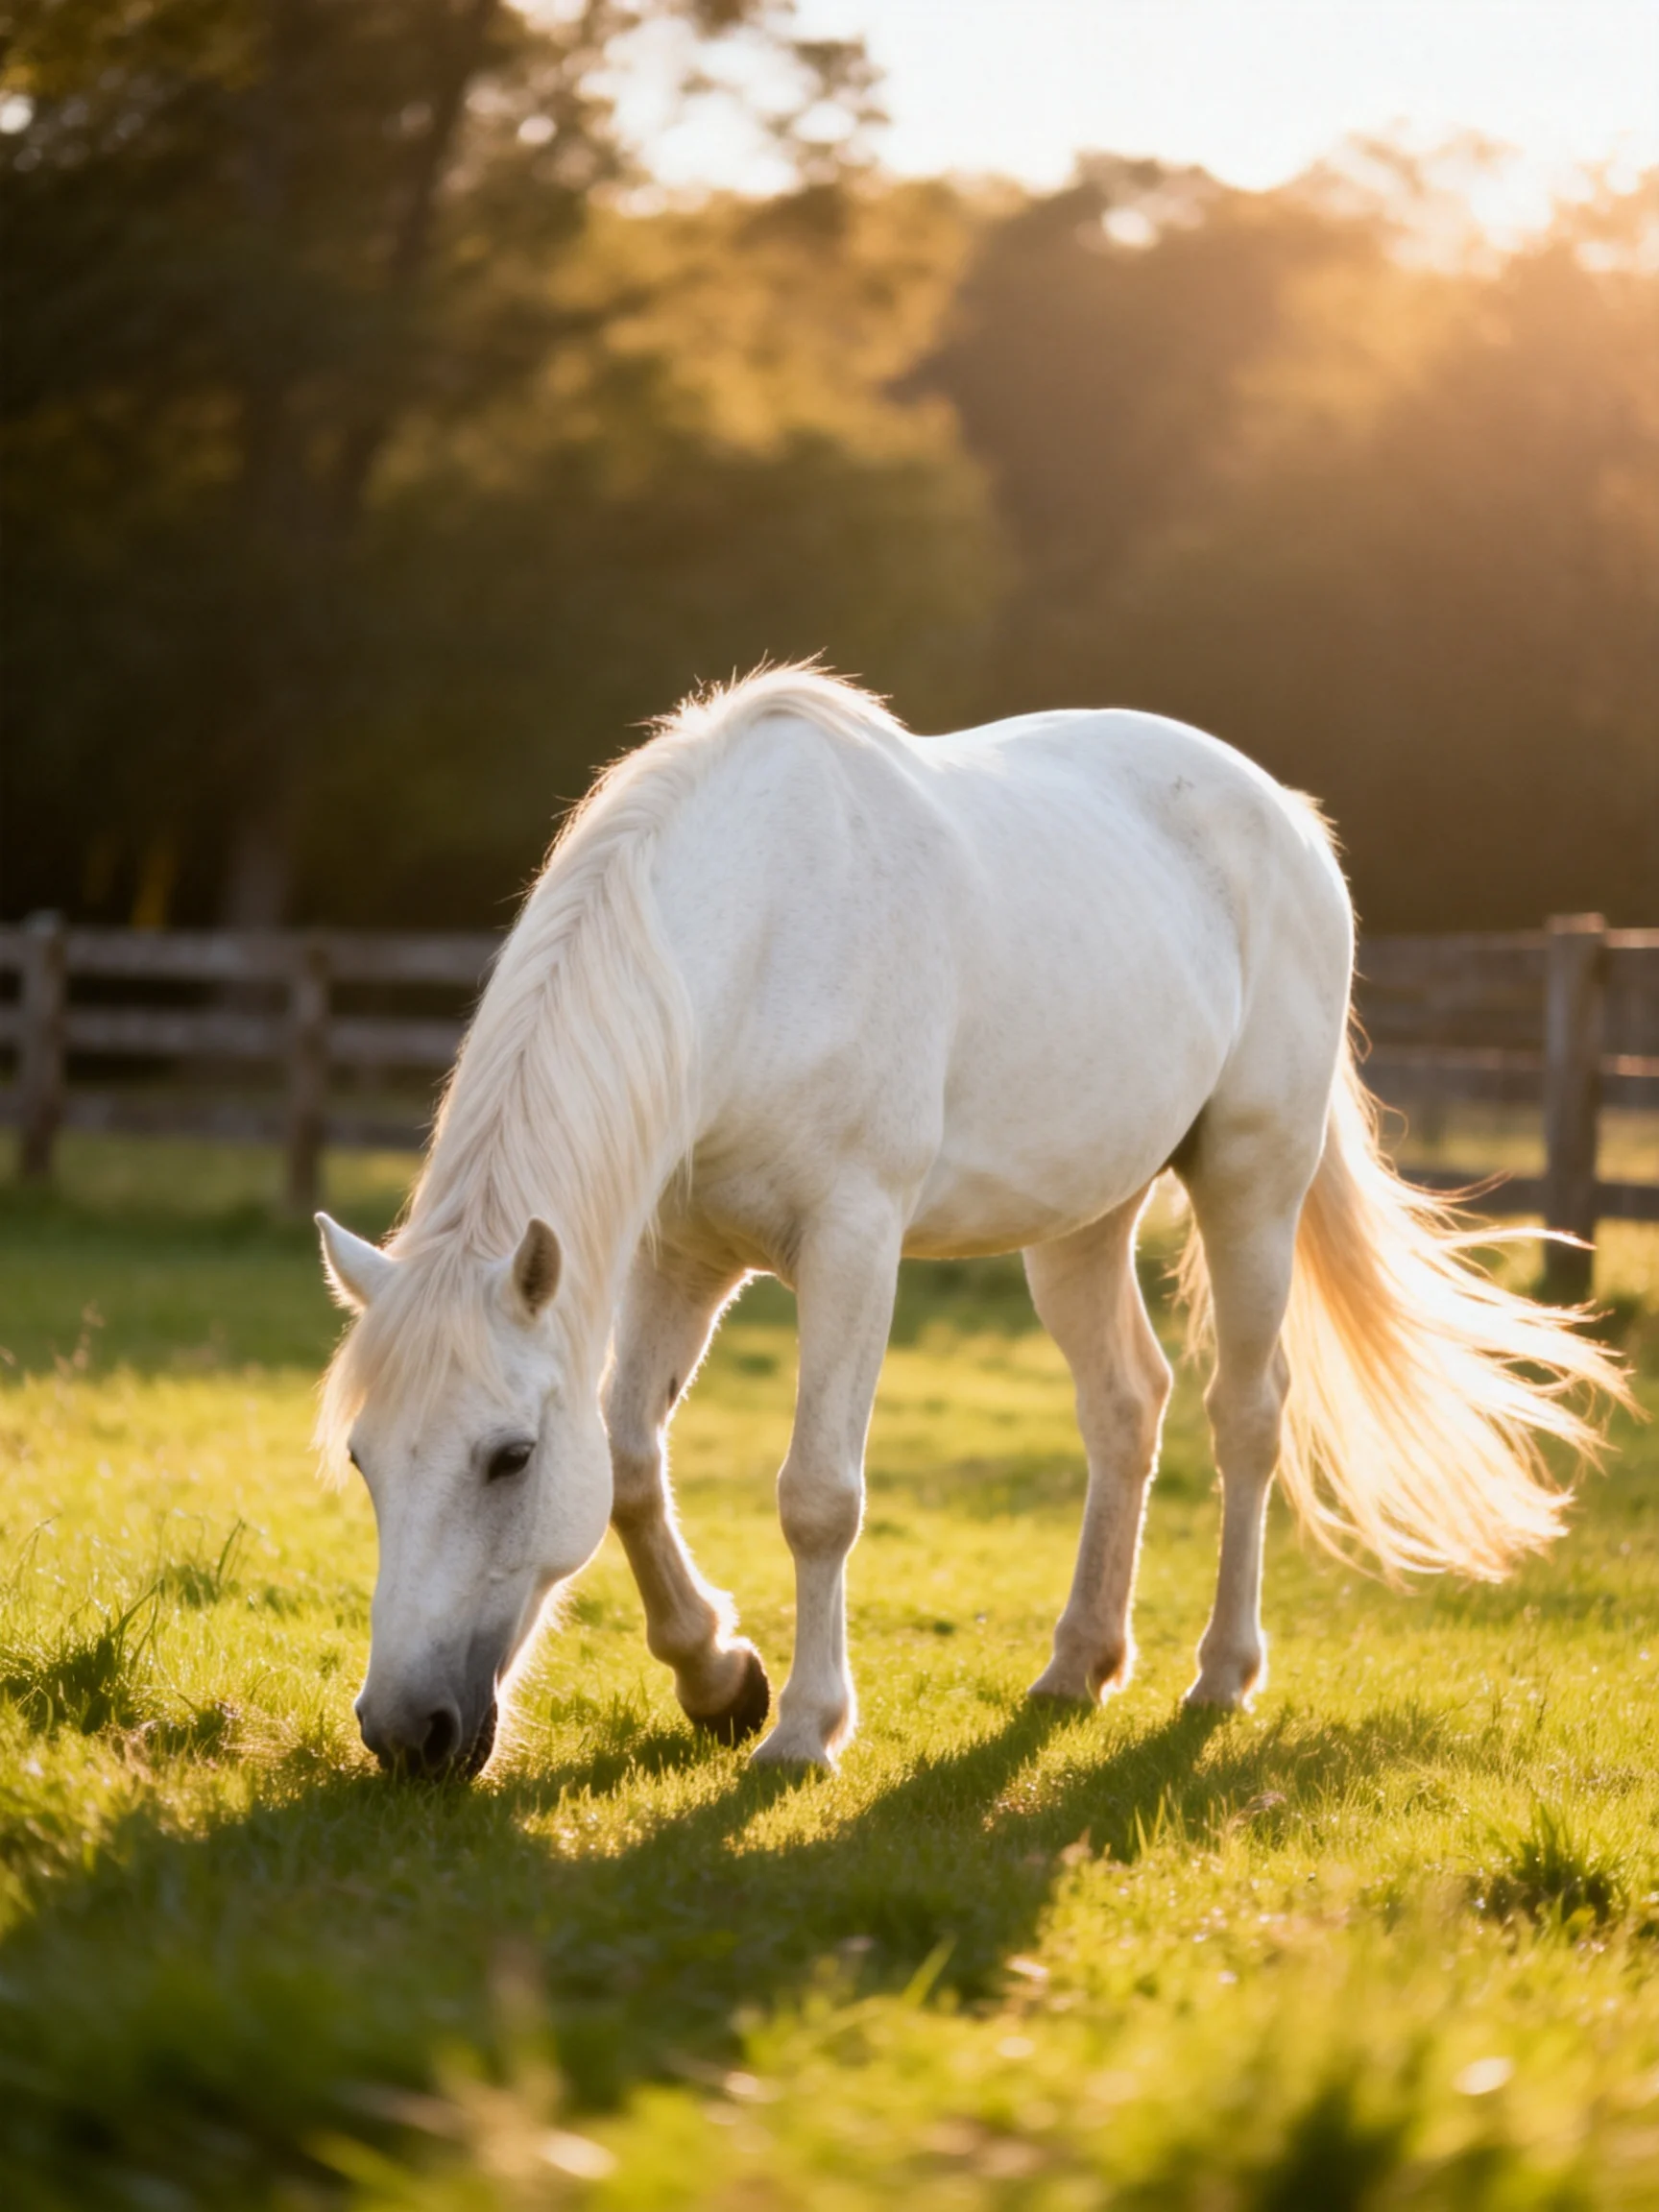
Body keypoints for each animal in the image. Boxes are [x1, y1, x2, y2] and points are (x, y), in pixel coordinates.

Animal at [315, 667, 1624, 1777]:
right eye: (364, 1459)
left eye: (508, 1458)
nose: (404, 1732)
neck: (759, 937)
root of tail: (1289, 818)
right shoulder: (677, 1253)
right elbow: (633, 1464)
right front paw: (718, 1676)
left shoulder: (851, 1244)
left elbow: (819, 1494)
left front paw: (803, 1729)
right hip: (1080, 1222)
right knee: (1127, 1407)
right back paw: (1077, 1664)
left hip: (1253, 1179)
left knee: (1246, 1416)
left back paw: (1219, 1676)